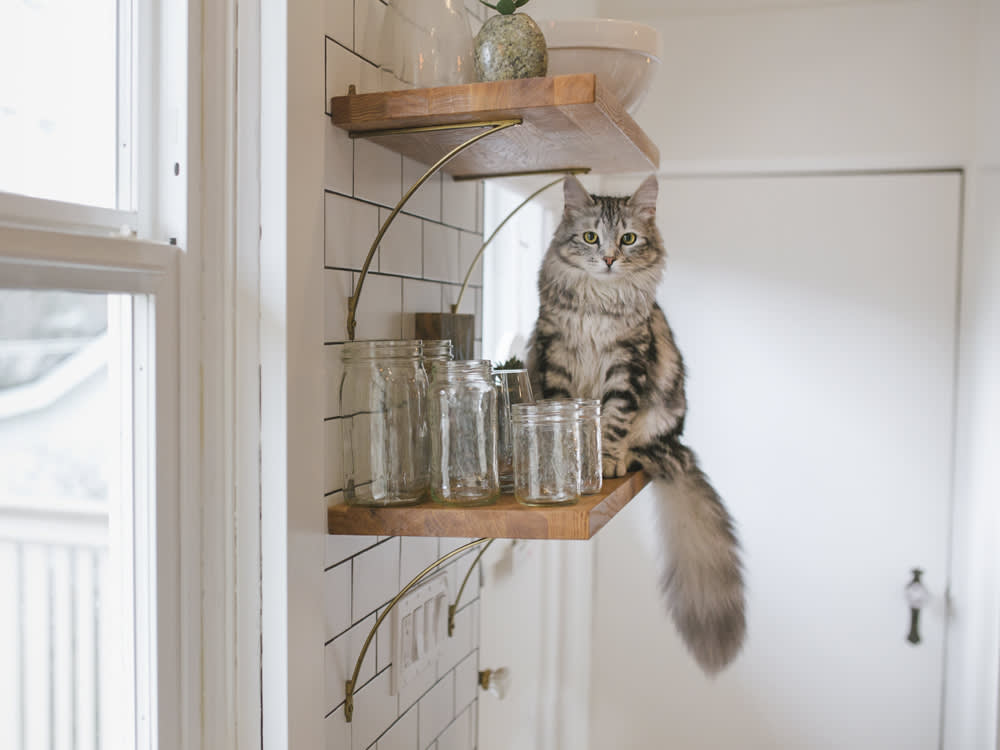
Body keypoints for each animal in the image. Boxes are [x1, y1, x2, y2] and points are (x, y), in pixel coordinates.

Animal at [528, 175, 748, 676]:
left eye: (628, 239)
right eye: (591, 237)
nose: (610, 258)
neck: (598, 302)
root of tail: (676, 444)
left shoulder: (626, 364)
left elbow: (611, 420)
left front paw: (605, 459)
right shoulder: (556, 354)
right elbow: (560, 416)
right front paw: (564, 463)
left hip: (662, 415)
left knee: (643, 444)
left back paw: (628, 457)